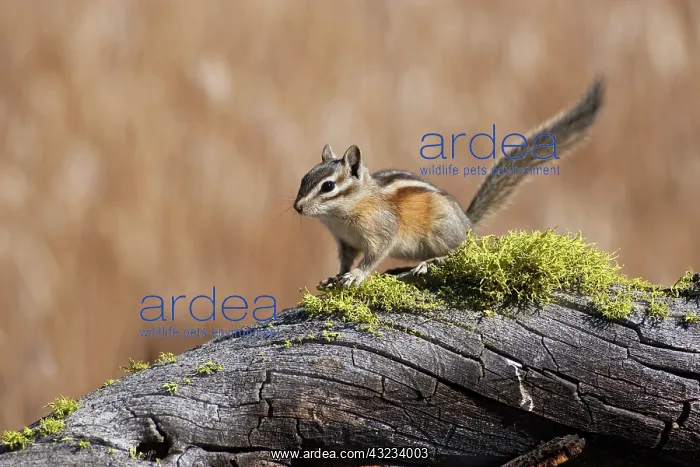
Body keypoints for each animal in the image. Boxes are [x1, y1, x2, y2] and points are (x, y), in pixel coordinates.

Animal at [294, 78, 605, 287]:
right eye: (303, 179)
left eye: (328, 186)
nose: (297, 207)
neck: (344, 212)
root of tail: (466, 225)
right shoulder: (345, 242)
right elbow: (345, 260)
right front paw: (335, 277)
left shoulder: (381, 231)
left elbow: (374, 255)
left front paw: (356, 275)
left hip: (440, 232)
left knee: (457, 253)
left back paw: (430, 263)